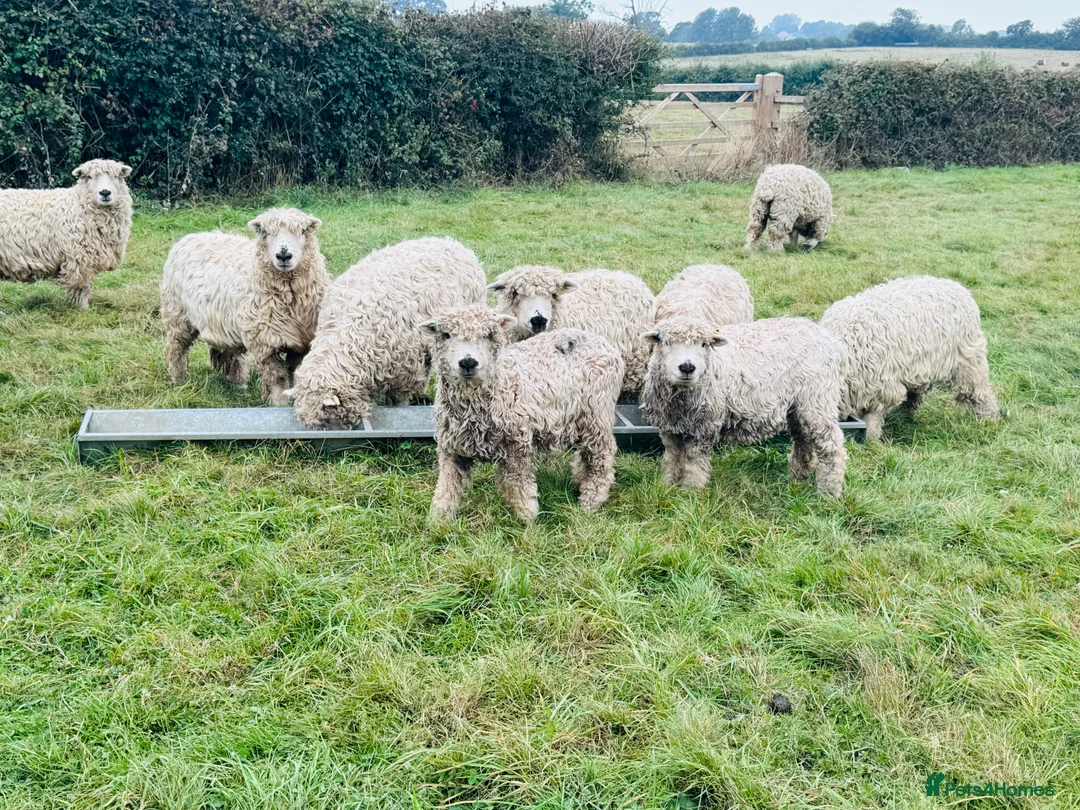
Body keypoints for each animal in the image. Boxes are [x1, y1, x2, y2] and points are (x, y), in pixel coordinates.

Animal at [0, 159, 132, 309]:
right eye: (89, 177)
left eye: (116, 176)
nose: (105, 192)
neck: (78, 205)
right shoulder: (80, 258)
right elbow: (81, 287)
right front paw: (82, 308)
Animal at [160, 207, 329, 406]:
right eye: (264, 232)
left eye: (302, 231)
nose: (283, 255)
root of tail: (191, 236)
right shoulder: (263, 342)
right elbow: (278, 376)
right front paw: (279, 401)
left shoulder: (300, 341)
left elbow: (291, 371)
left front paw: (291, 395)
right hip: (177, 314)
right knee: (176, 348)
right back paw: (179, 380)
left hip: (221, 322)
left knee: (228, 352)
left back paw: (239, 384)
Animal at [424, 305, 624, 522]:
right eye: (446, 335)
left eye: (489, 335)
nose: (468, 362)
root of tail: (601, 341)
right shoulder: (451, 449)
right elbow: (447, 487)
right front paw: (438, 519)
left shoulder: (517, 444)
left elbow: (518, 485)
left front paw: (527, 517)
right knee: (586, 456)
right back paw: (580, 480)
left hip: (597, 414)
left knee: (601, 458)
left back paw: (591, 501)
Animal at [642, 316, 848, 496]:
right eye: (667, 342)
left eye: (704, 344)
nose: (687, 367)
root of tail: (830, 340)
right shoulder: (669, 427)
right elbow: (672, 457)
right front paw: (668, 485)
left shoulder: (704, 426)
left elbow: (694, 462)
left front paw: (690, 491)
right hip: (797, 407)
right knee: (803, 438)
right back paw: (798, 476)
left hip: (818, 398)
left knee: (831, 446)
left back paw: (828, 492)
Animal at [820, 275, 1000, 441]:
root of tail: (956, 285)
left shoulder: (881, 388)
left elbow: (872, 417)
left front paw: (870, 440)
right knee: (914, 394)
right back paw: (905, 415)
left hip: (968, 363)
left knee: (981, 394)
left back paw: (990, 420)